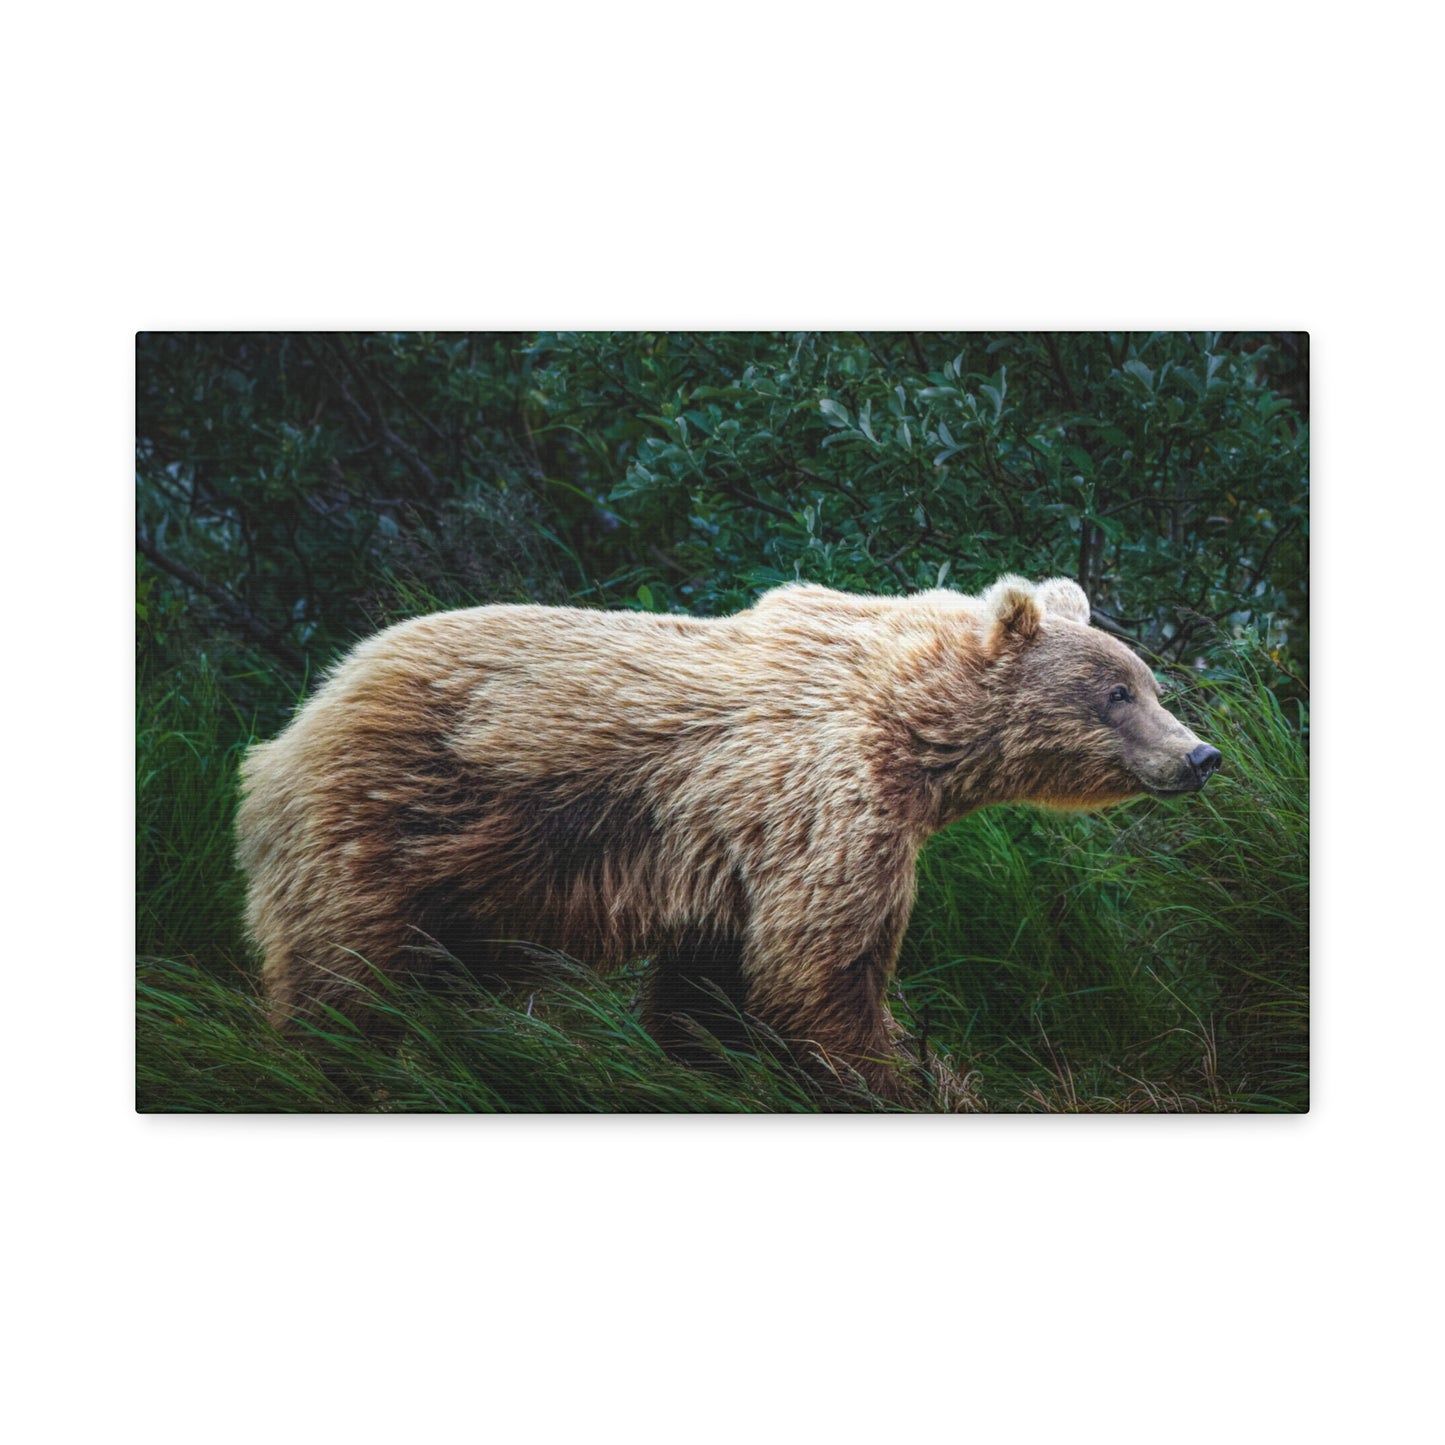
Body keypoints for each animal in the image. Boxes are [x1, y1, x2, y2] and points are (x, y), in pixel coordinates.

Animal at [236, 575, 1221, 1103]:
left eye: (1149, 682)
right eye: (1117, 693)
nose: (1198, 754)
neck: (917, 736)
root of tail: (292, 724)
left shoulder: (727, 858)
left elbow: (709, 989)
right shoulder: (826, 805)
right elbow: (823, 971)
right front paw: (910, 1077)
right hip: (386, 826)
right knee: (342, 984)